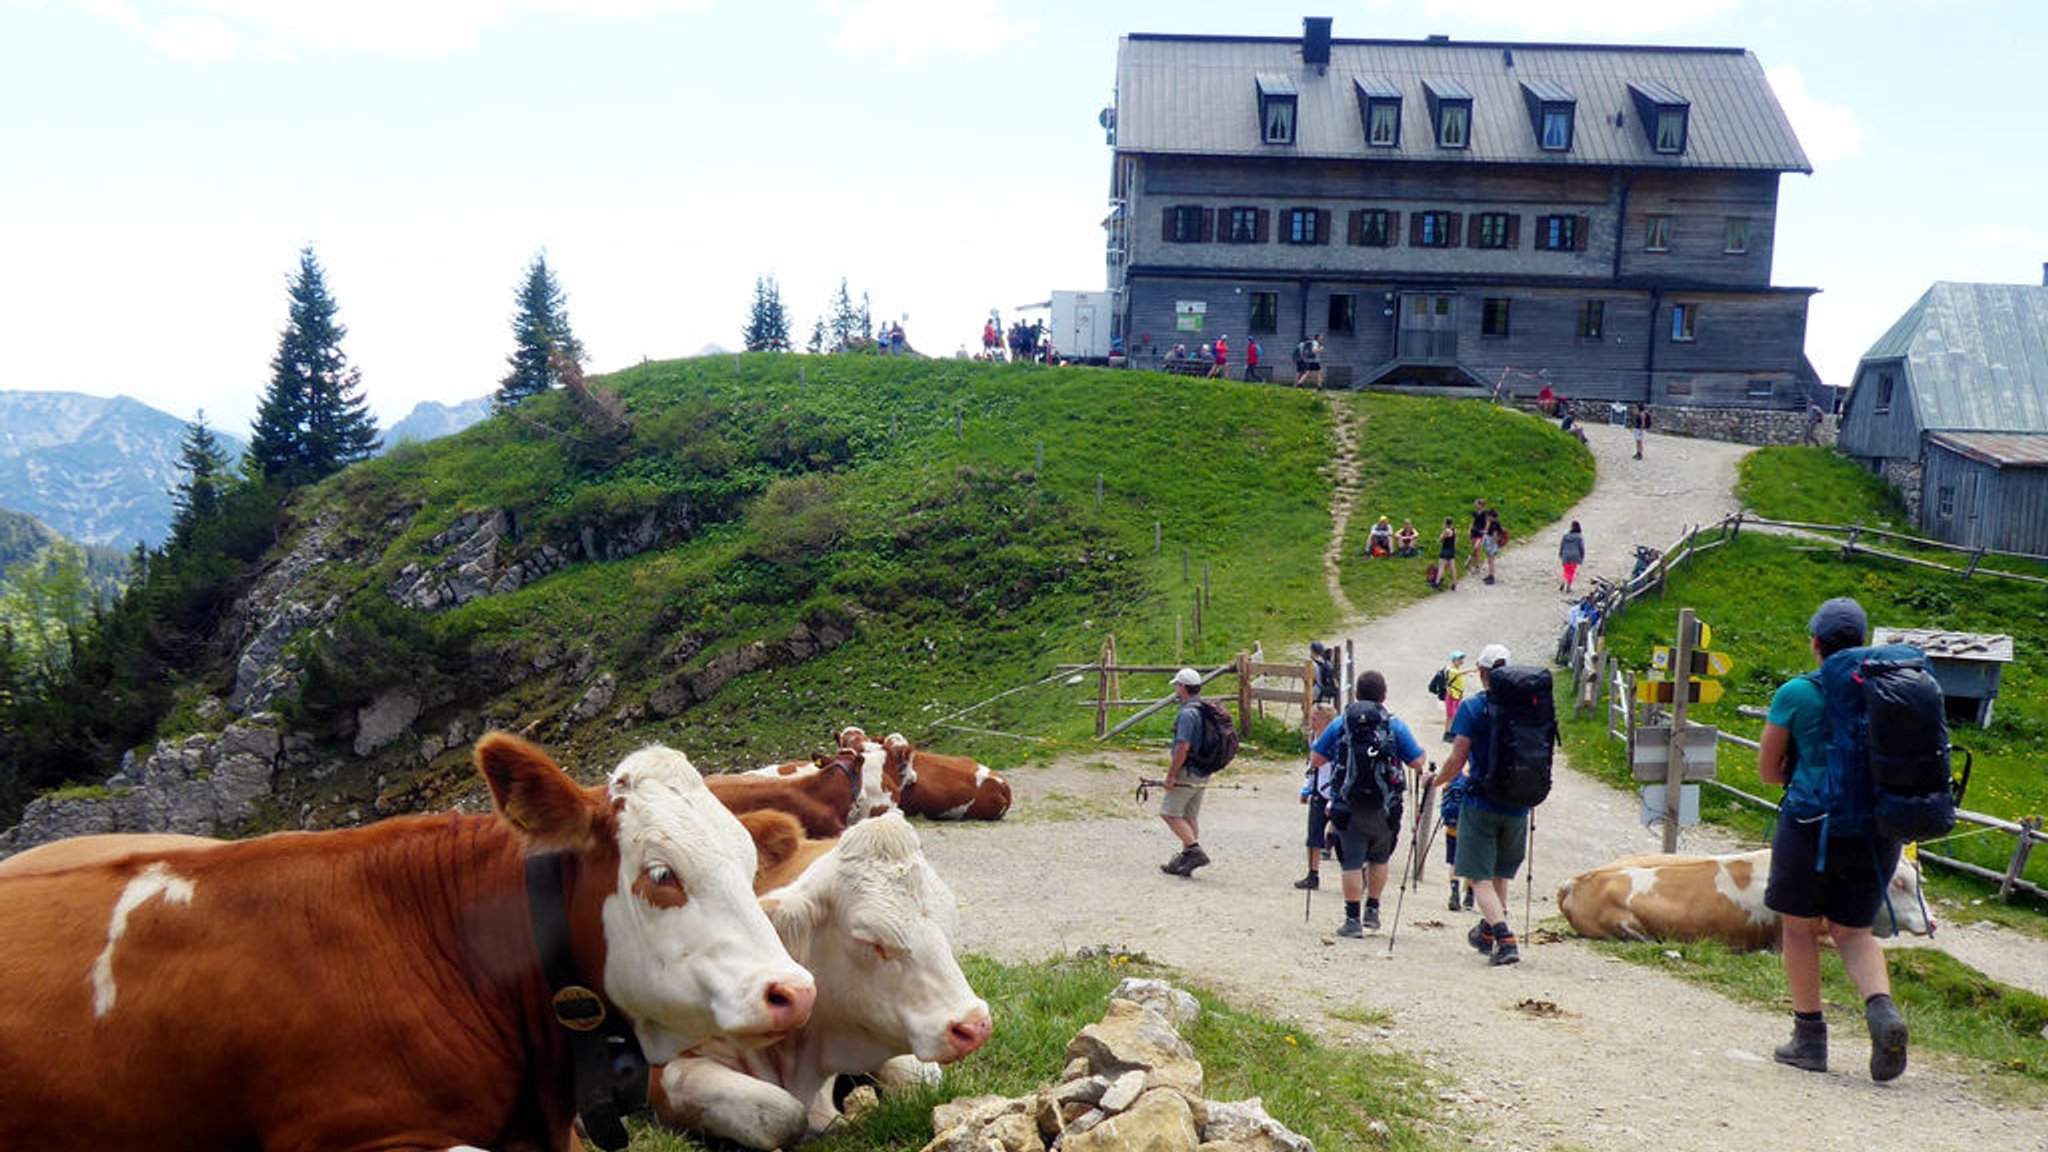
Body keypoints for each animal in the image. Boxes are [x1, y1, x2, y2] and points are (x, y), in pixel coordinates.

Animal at [655, 807, 991, 1147]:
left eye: (948, 924)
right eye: (870, 941)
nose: (974, 1026)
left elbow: (920, 1079)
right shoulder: (666, 1072)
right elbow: (780, 1112)